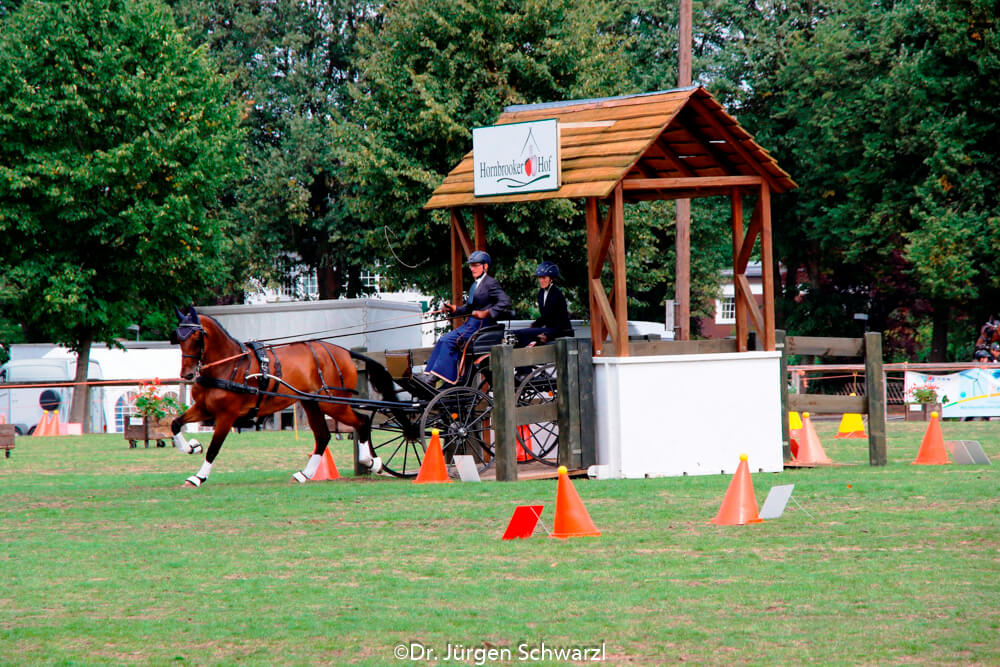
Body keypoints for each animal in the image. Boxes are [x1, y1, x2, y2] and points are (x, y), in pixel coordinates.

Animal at [169, 306, 406, 486]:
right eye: (178, 338)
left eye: (197, 337)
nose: (187, 374)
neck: (230, 365)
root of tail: (345, 352)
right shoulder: (204, 408)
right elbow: (175, 423)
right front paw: (192, 446)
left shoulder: (227, 415)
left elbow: (214, 447)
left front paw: (198, 477)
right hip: (313, 404)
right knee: (323, 436)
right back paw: (304, 474)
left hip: (333, 405)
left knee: (362, 421)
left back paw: (372, 462)